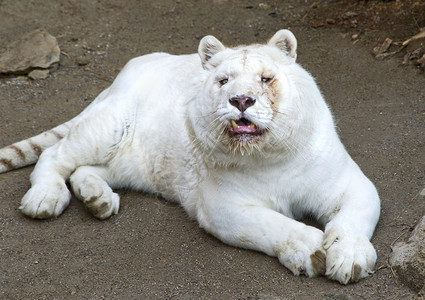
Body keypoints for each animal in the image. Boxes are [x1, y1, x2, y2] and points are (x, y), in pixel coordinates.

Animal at [0, 29, 378, 284]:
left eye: (265, 79)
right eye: (224, 81)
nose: (241, 100)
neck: (268, 157)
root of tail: (119, 77)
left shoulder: (350, 184)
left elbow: (354, 217)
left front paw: (350, 258)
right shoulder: (222, 206)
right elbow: (273, 224)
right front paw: (311, 249)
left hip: (130, 163)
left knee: (84, 170)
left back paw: (99, 200)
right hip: (108, 124)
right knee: (54, 155)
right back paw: (44, 199)